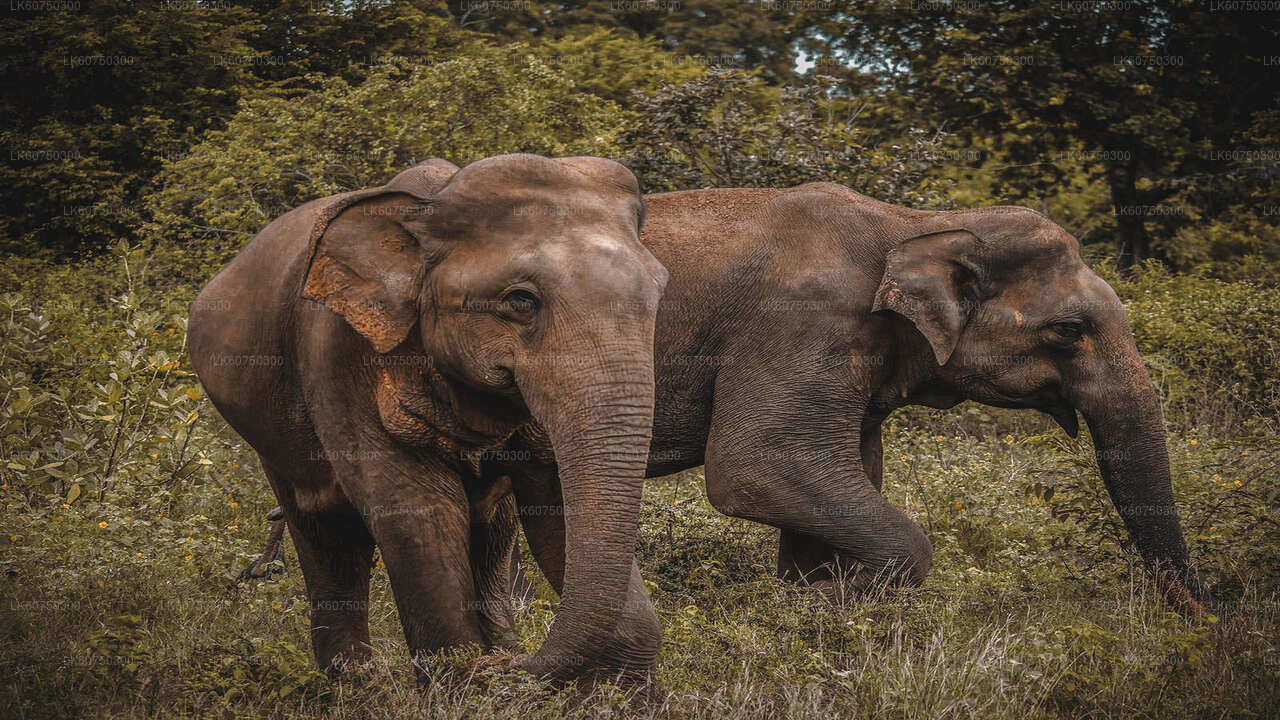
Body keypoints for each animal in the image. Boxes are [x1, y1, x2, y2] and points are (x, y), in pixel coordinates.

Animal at [192, 154, 670, 681]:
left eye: (659, 292)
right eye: (520, 300)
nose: (509, 664)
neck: (431, 206)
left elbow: (557, 503)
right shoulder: (338, 353)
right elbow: (416, 508)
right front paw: (464, 676)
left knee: (491, 534)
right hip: (272, 439)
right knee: (325, 534)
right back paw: (356, 685)